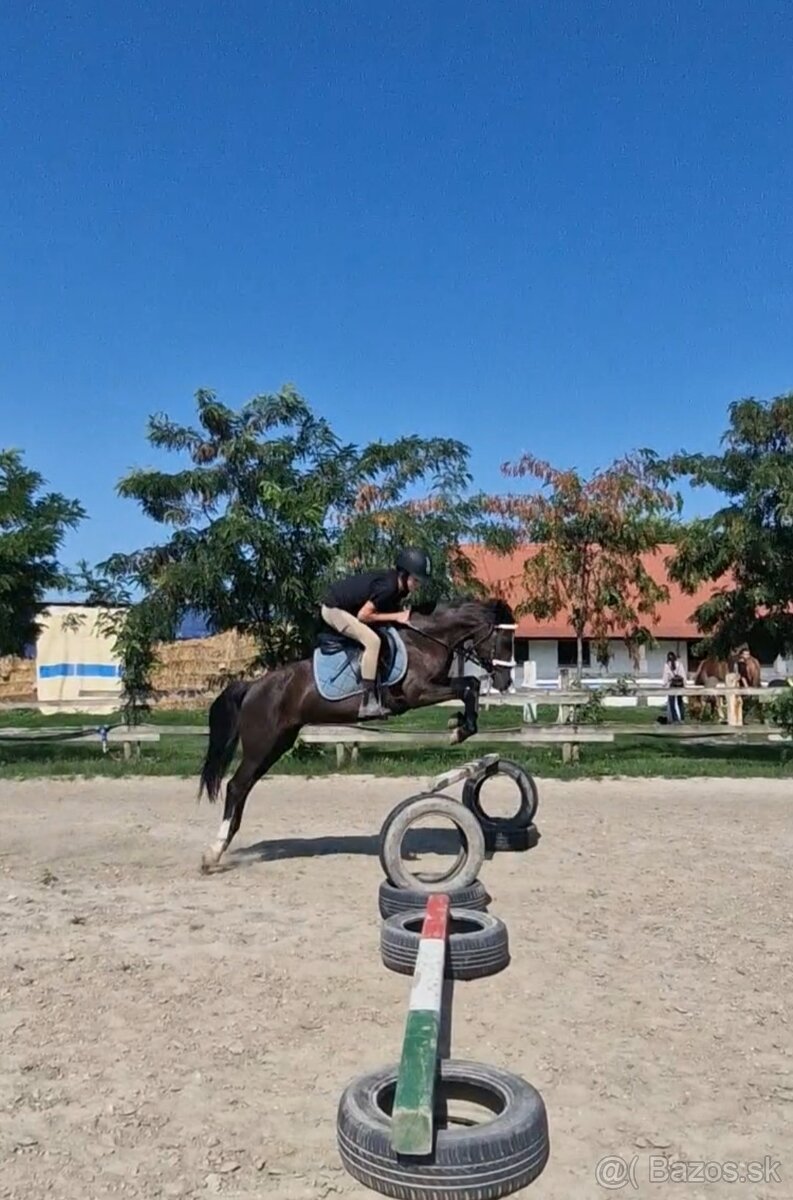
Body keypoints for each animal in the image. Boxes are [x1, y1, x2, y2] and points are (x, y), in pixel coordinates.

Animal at [197, 596, 517, 871]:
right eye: (504, 640)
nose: (505, 682)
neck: (425, 640)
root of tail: (253, 686)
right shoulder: (418, 692)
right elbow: (469, 685)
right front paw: (459, 728)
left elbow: (470, 685)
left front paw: (459, 723)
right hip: (262, 744)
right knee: (236, 786)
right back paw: (213, 851)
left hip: (276, 743)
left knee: (244, 786)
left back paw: (224, 843)